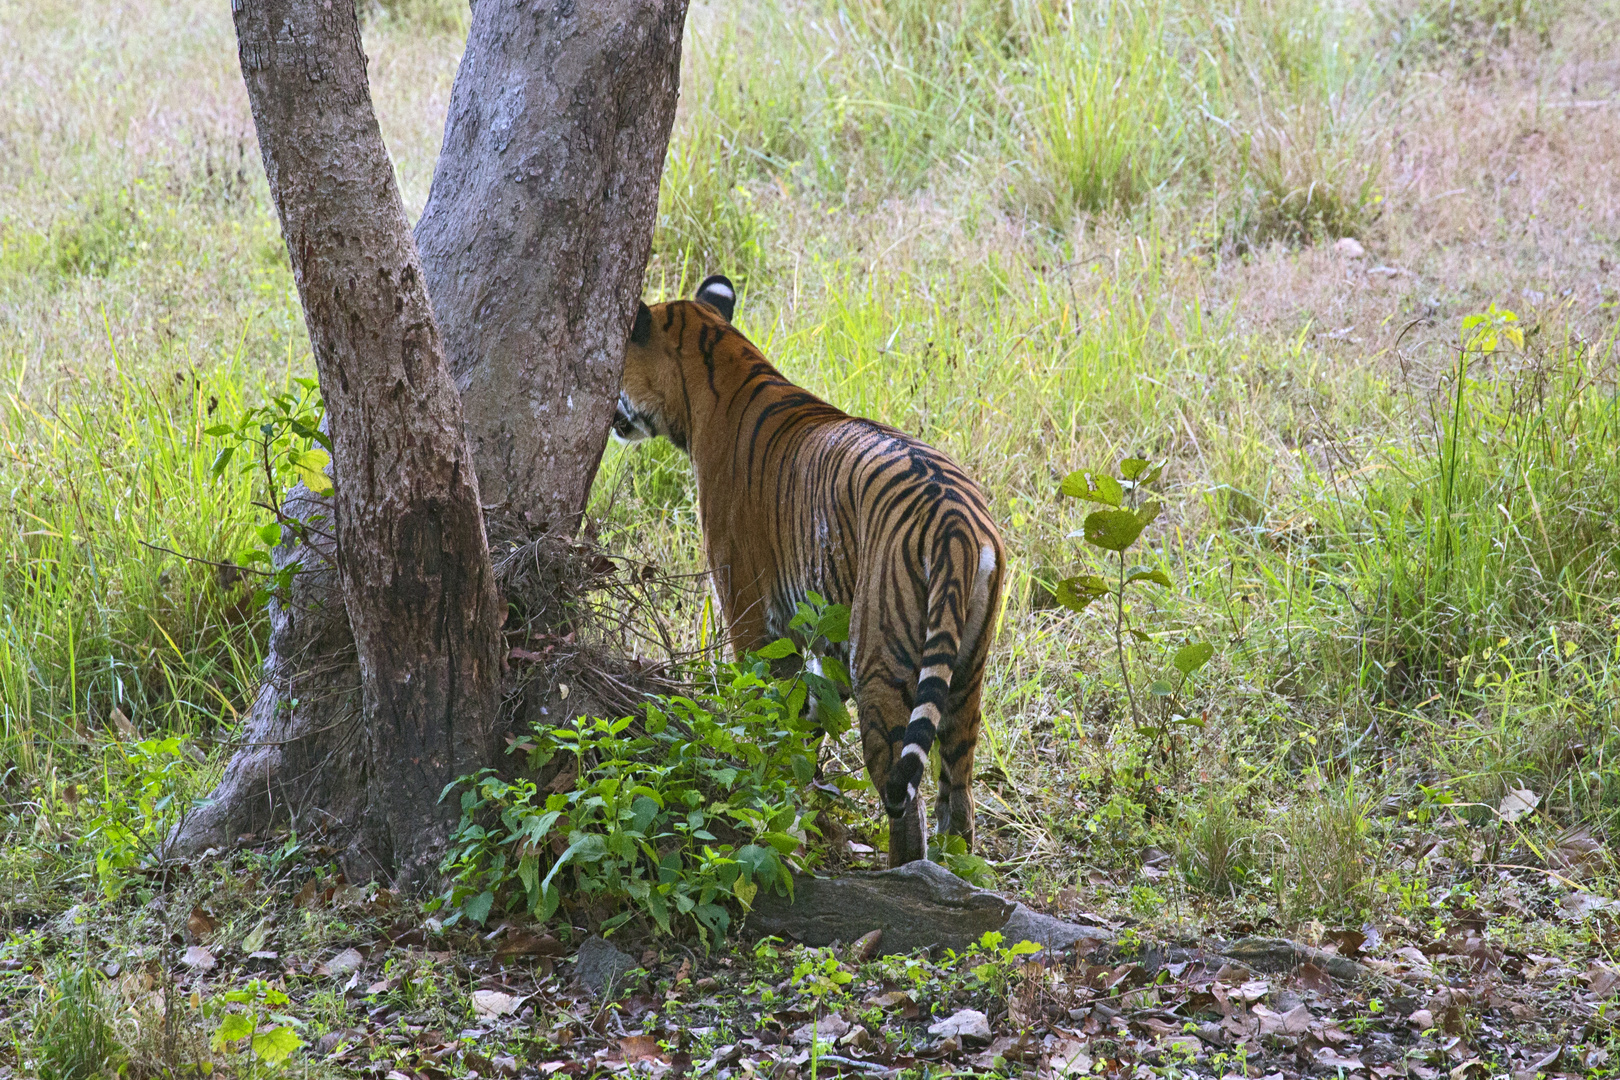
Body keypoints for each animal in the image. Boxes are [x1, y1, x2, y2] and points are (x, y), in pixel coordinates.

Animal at [612, 275, 1004, 867]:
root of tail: (957, 521)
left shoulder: (749, 610)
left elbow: (764, 713)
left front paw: (763, 791)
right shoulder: (823, 639)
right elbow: (805, 718)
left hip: (882, 663)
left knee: (904, 799)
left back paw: (900, 874)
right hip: (966, 674)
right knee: (957, 797)